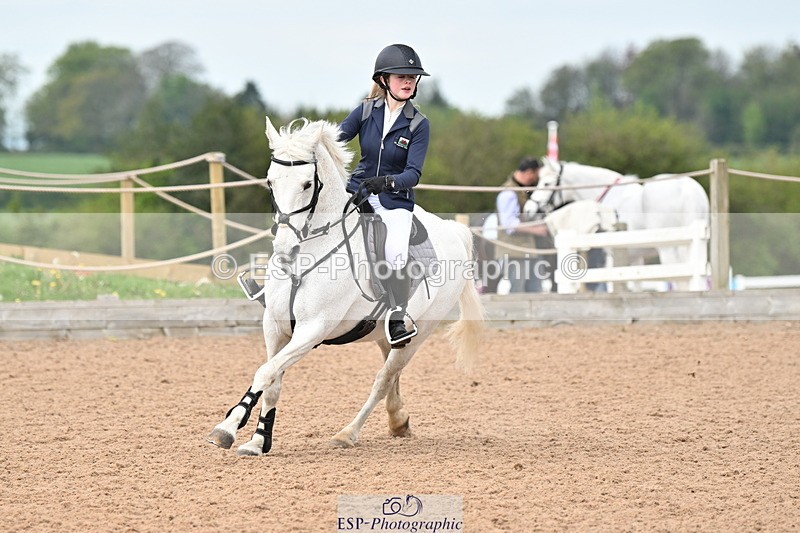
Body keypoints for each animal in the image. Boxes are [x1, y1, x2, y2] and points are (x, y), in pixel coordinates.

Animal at [207, 117, 484, 456]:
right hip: (388, 334)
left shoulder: (313, 329)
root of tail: (453, 231)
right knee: (392, 374)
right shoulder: (275, 326)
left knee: (383, 379)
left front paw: (227, 428)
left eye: (307, 184)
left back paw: (348, 433)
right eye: (270, 182)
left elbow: (266, 372)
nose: (285, 251)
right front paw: (259, 440)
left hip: (419, 336)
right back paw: (398, 421)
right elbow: (272, 380)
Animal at [525, 158, 709, 290]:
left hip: (668, 247)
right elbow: (636, 282)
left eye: (546, 183)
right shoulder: (635, 255)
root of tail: (686, 189)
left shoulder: (611, 252)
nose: (528, 209)